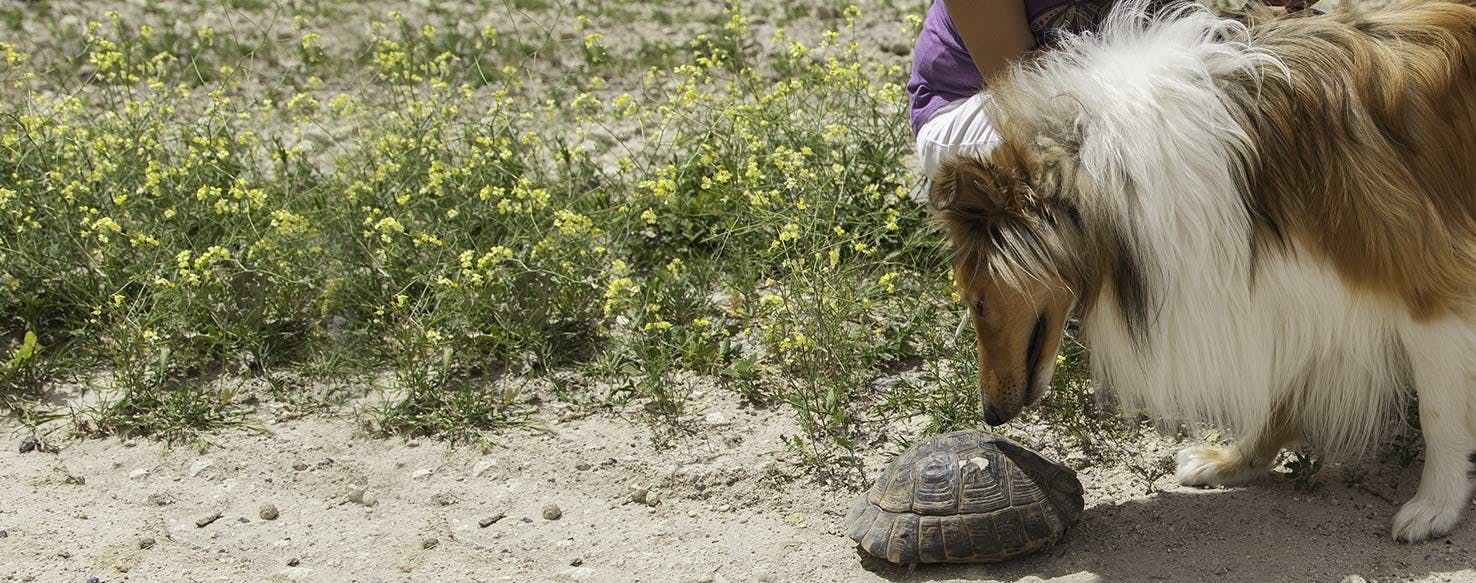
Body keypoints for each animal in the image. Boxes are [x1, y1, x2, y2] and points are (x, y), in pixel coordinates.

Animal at [926, 0, 1476, 543]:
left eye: (979, 302)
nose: (989, 415)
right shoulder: (1308, 289)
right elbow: (1282, 394)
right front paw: (1233, 462)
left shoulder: (1434, 288)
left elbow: (1440, 412)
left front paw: (1436, 506)